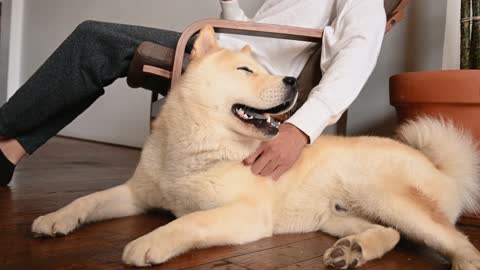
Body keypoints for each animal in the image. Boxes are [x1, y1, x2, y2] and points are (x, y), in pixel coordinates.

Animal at [31, 25, 480, 270]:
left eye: (270, 71)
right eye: (246, 69)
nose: (292, 82)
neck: (195, 148)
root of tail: (442, 169)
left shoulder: (245, 215)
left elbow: (189, 222)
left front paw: (151, 242)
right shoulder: (136, 195)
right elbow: (87, 200)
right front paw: (55, 219)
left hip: (385, 195)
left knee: (455, 240)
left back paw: (462, 260)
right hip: (337, 216)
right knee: (389, 234)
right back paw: (352, 250)